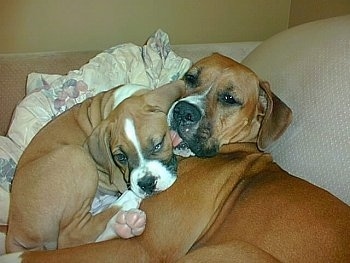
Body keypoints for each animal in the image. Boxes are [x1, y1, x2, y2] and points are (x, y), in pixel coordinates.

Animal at [5, 81, 186, 254]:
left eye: (158, 144)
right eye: (121, 157)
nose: (147, 184)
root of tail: (12, 230)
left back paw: (125, 226)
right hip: (77, 156)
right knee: (72, 236)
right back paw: (127, 201)